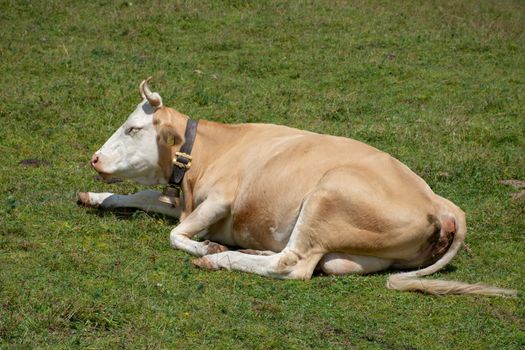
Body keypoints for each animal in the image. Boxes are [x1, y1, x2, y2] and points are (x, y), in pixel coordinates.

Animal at [78, 78, 516, 296]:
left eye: (133, 128)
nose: (95, 159)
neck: (208, 154)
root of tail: (441, 202)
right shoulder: (180, 198)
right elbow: (141, 196)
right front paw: (94, 196)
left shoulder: (220, 200)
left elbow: (175, 235)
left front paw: (207, 247)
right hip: (357, 255)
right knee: (318, 263)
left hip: (325, 197)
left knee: (290, 264)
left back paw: (220, 258)